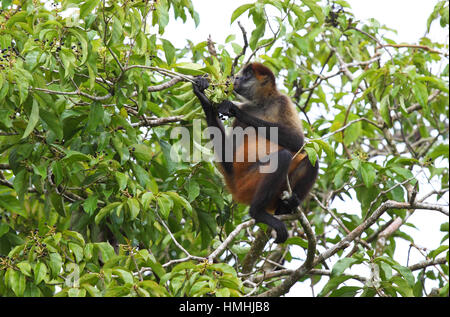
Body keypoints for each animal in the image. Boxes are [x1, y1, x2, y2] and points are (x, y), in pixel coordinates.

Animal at [192, 63, 318, 243]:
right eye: (242, 73)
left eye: (247, 75)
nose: (236, 77)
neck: (262, 105)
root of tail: (234, 183)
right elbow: (229, 158)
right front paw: (204, 97)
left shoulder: (282, 101)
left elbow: (297, 141)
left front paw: (232, 108)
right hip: (248, 183)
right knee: (284, 157)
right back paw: (258, 212)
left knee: (311, 159)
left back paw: (285, 207)